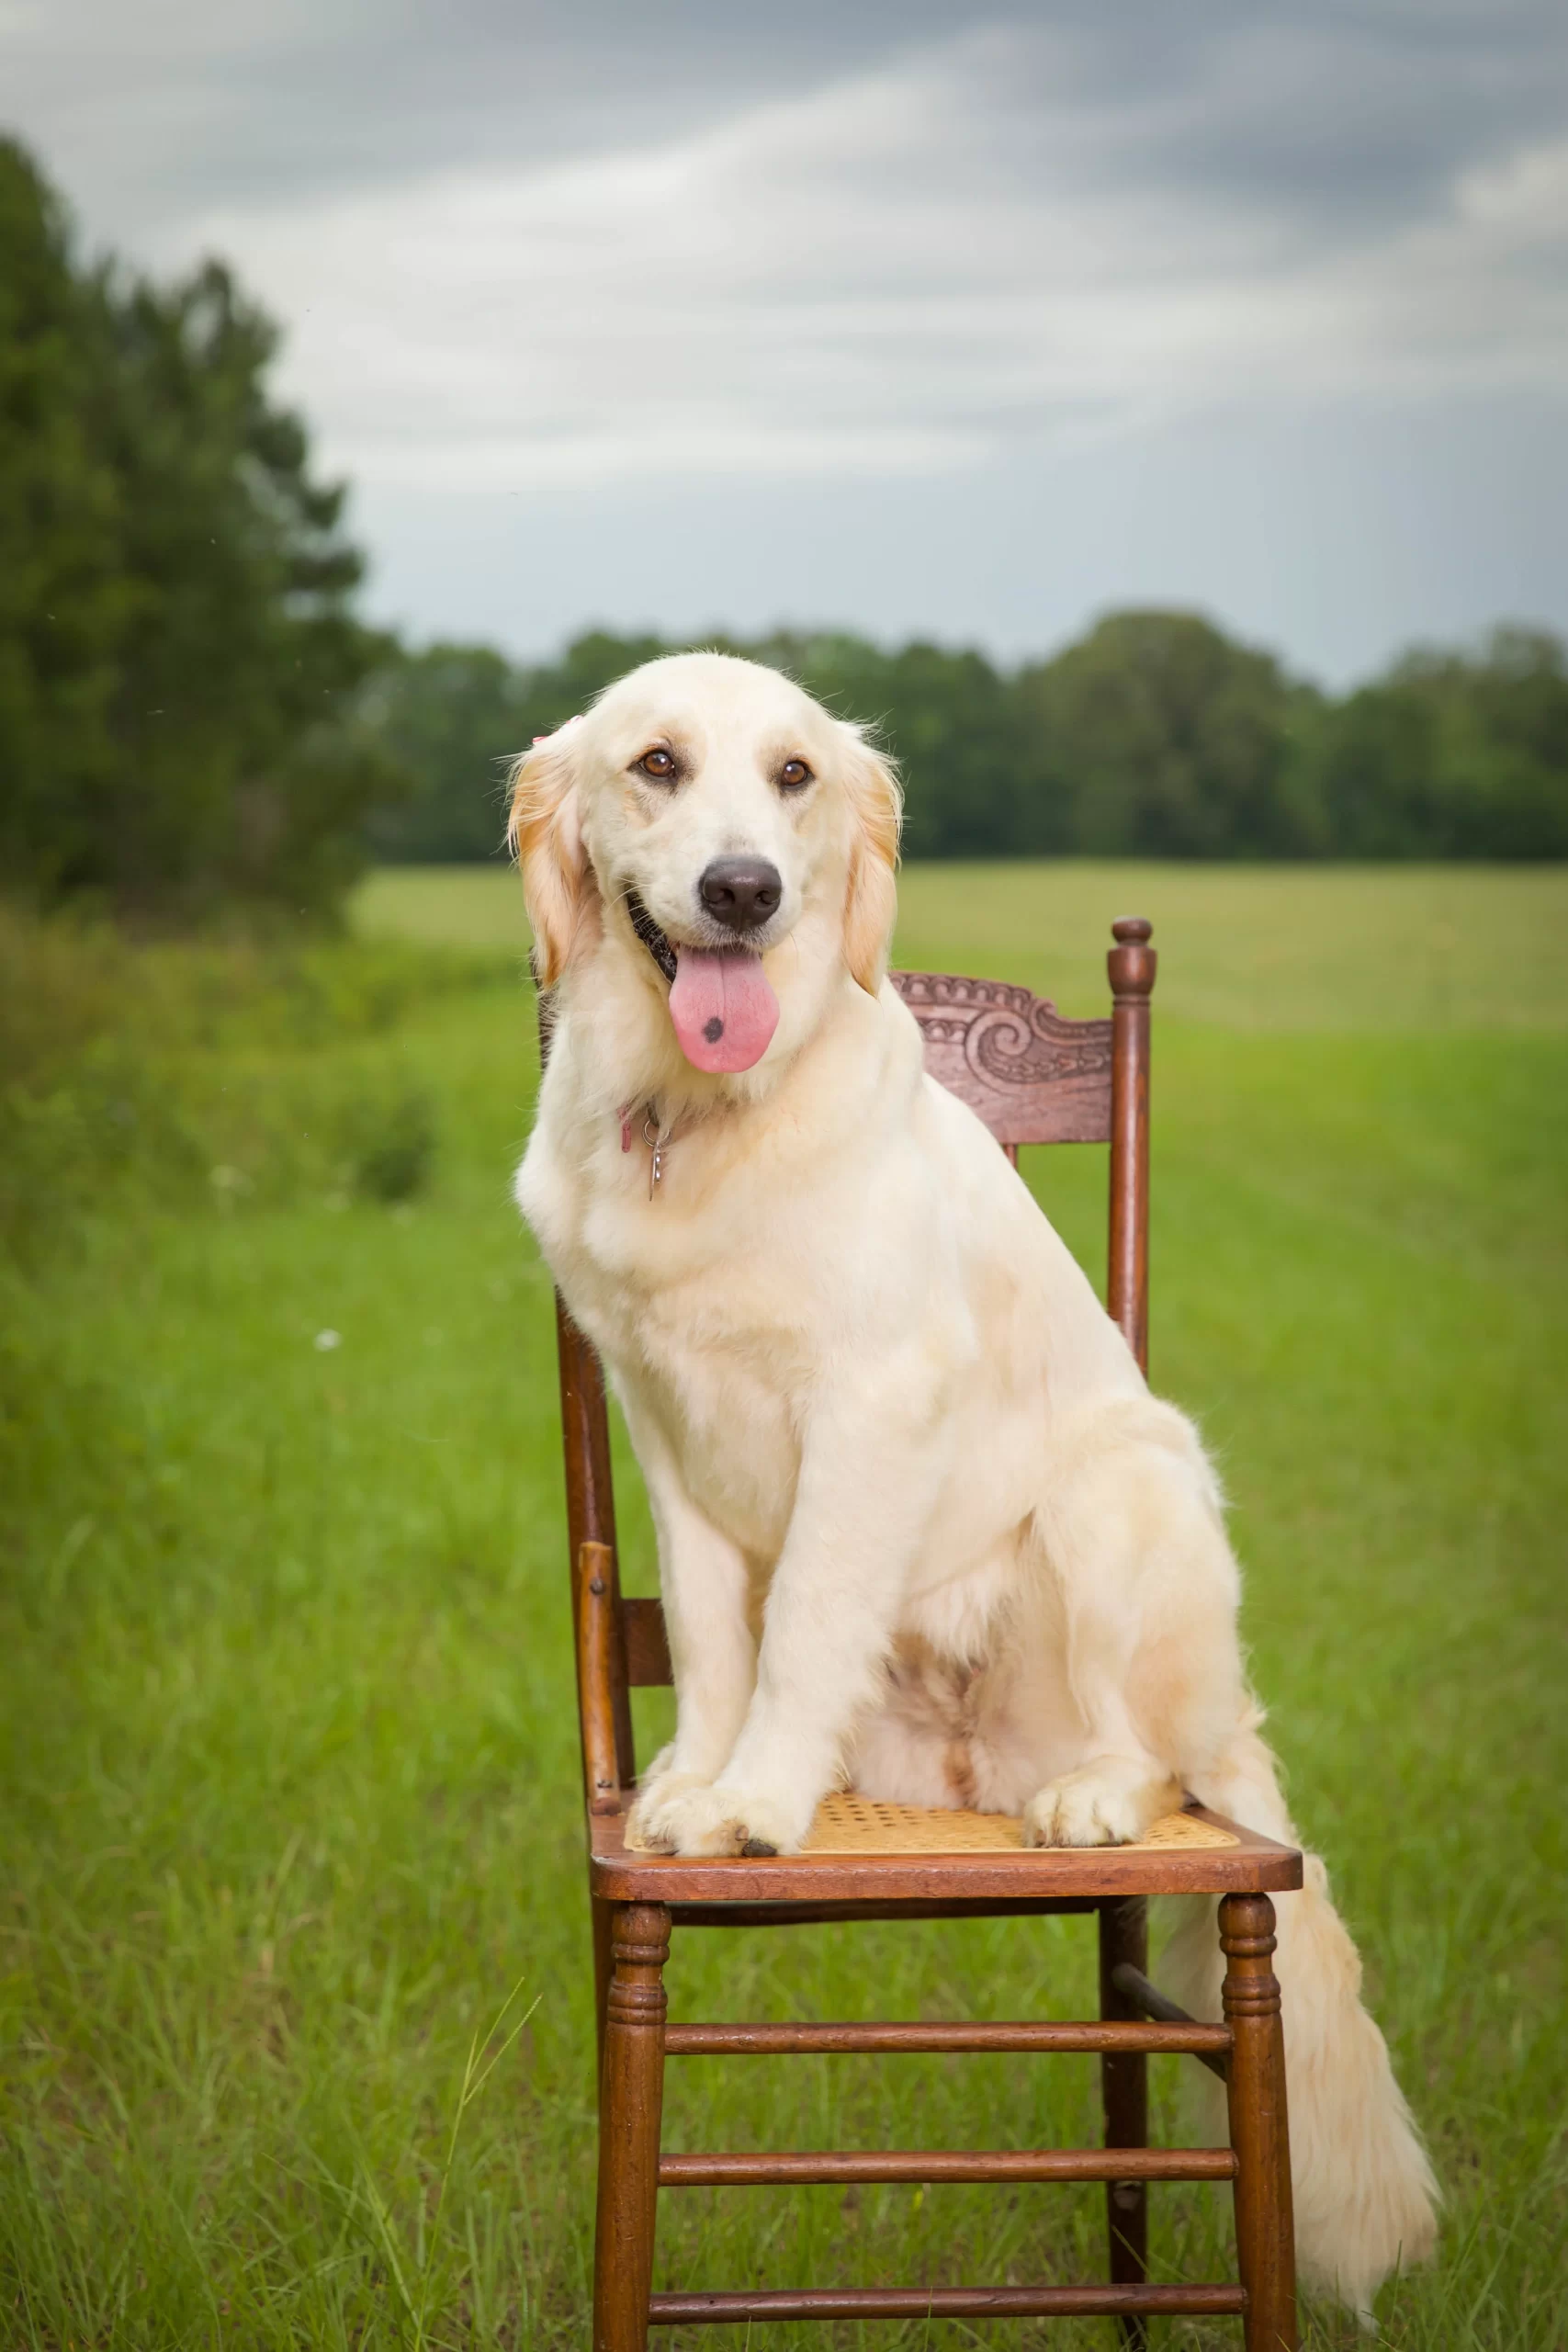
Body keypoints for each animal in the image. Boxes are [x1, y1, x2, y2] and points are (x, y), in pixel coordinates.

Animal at [512, 649, 1438, 2314]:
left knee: (1159, 1749)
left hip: (1117, 1490)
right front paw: (691, 1783)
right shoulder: (657, 1418)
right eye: (657, 764)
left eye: (796, 776)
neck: (698, 1115)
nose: (742, 891)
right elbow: (712, 1632)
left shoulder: (871, 1399)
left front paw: (753, 1805)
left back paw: (1095, 1796)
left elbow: (803, 1621)